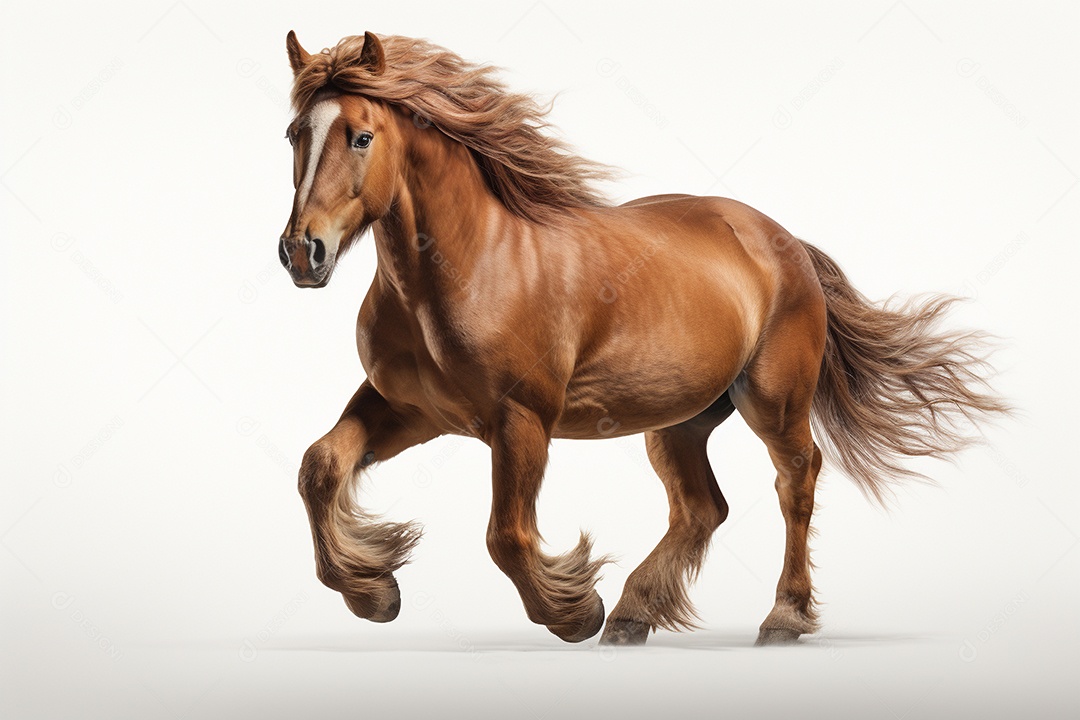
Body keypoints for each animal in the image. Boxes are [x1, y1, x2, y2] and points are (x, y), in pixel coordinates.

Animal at [277, 31, 1007, 646]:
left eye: (361, 136)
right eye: (293, 135)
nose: (301, 253)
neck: (469, 266)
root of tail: (786, 242)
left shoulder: (520, 420)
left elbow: (507, 536)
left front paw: (573, 612)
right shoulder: (410, 409)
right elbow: (318, 467)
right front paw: (374, 591)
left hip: (772, 400)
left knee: (796, 479)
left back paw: (782, 616)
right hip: (679, 419)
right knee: (702, 508)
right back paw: (632, 616)